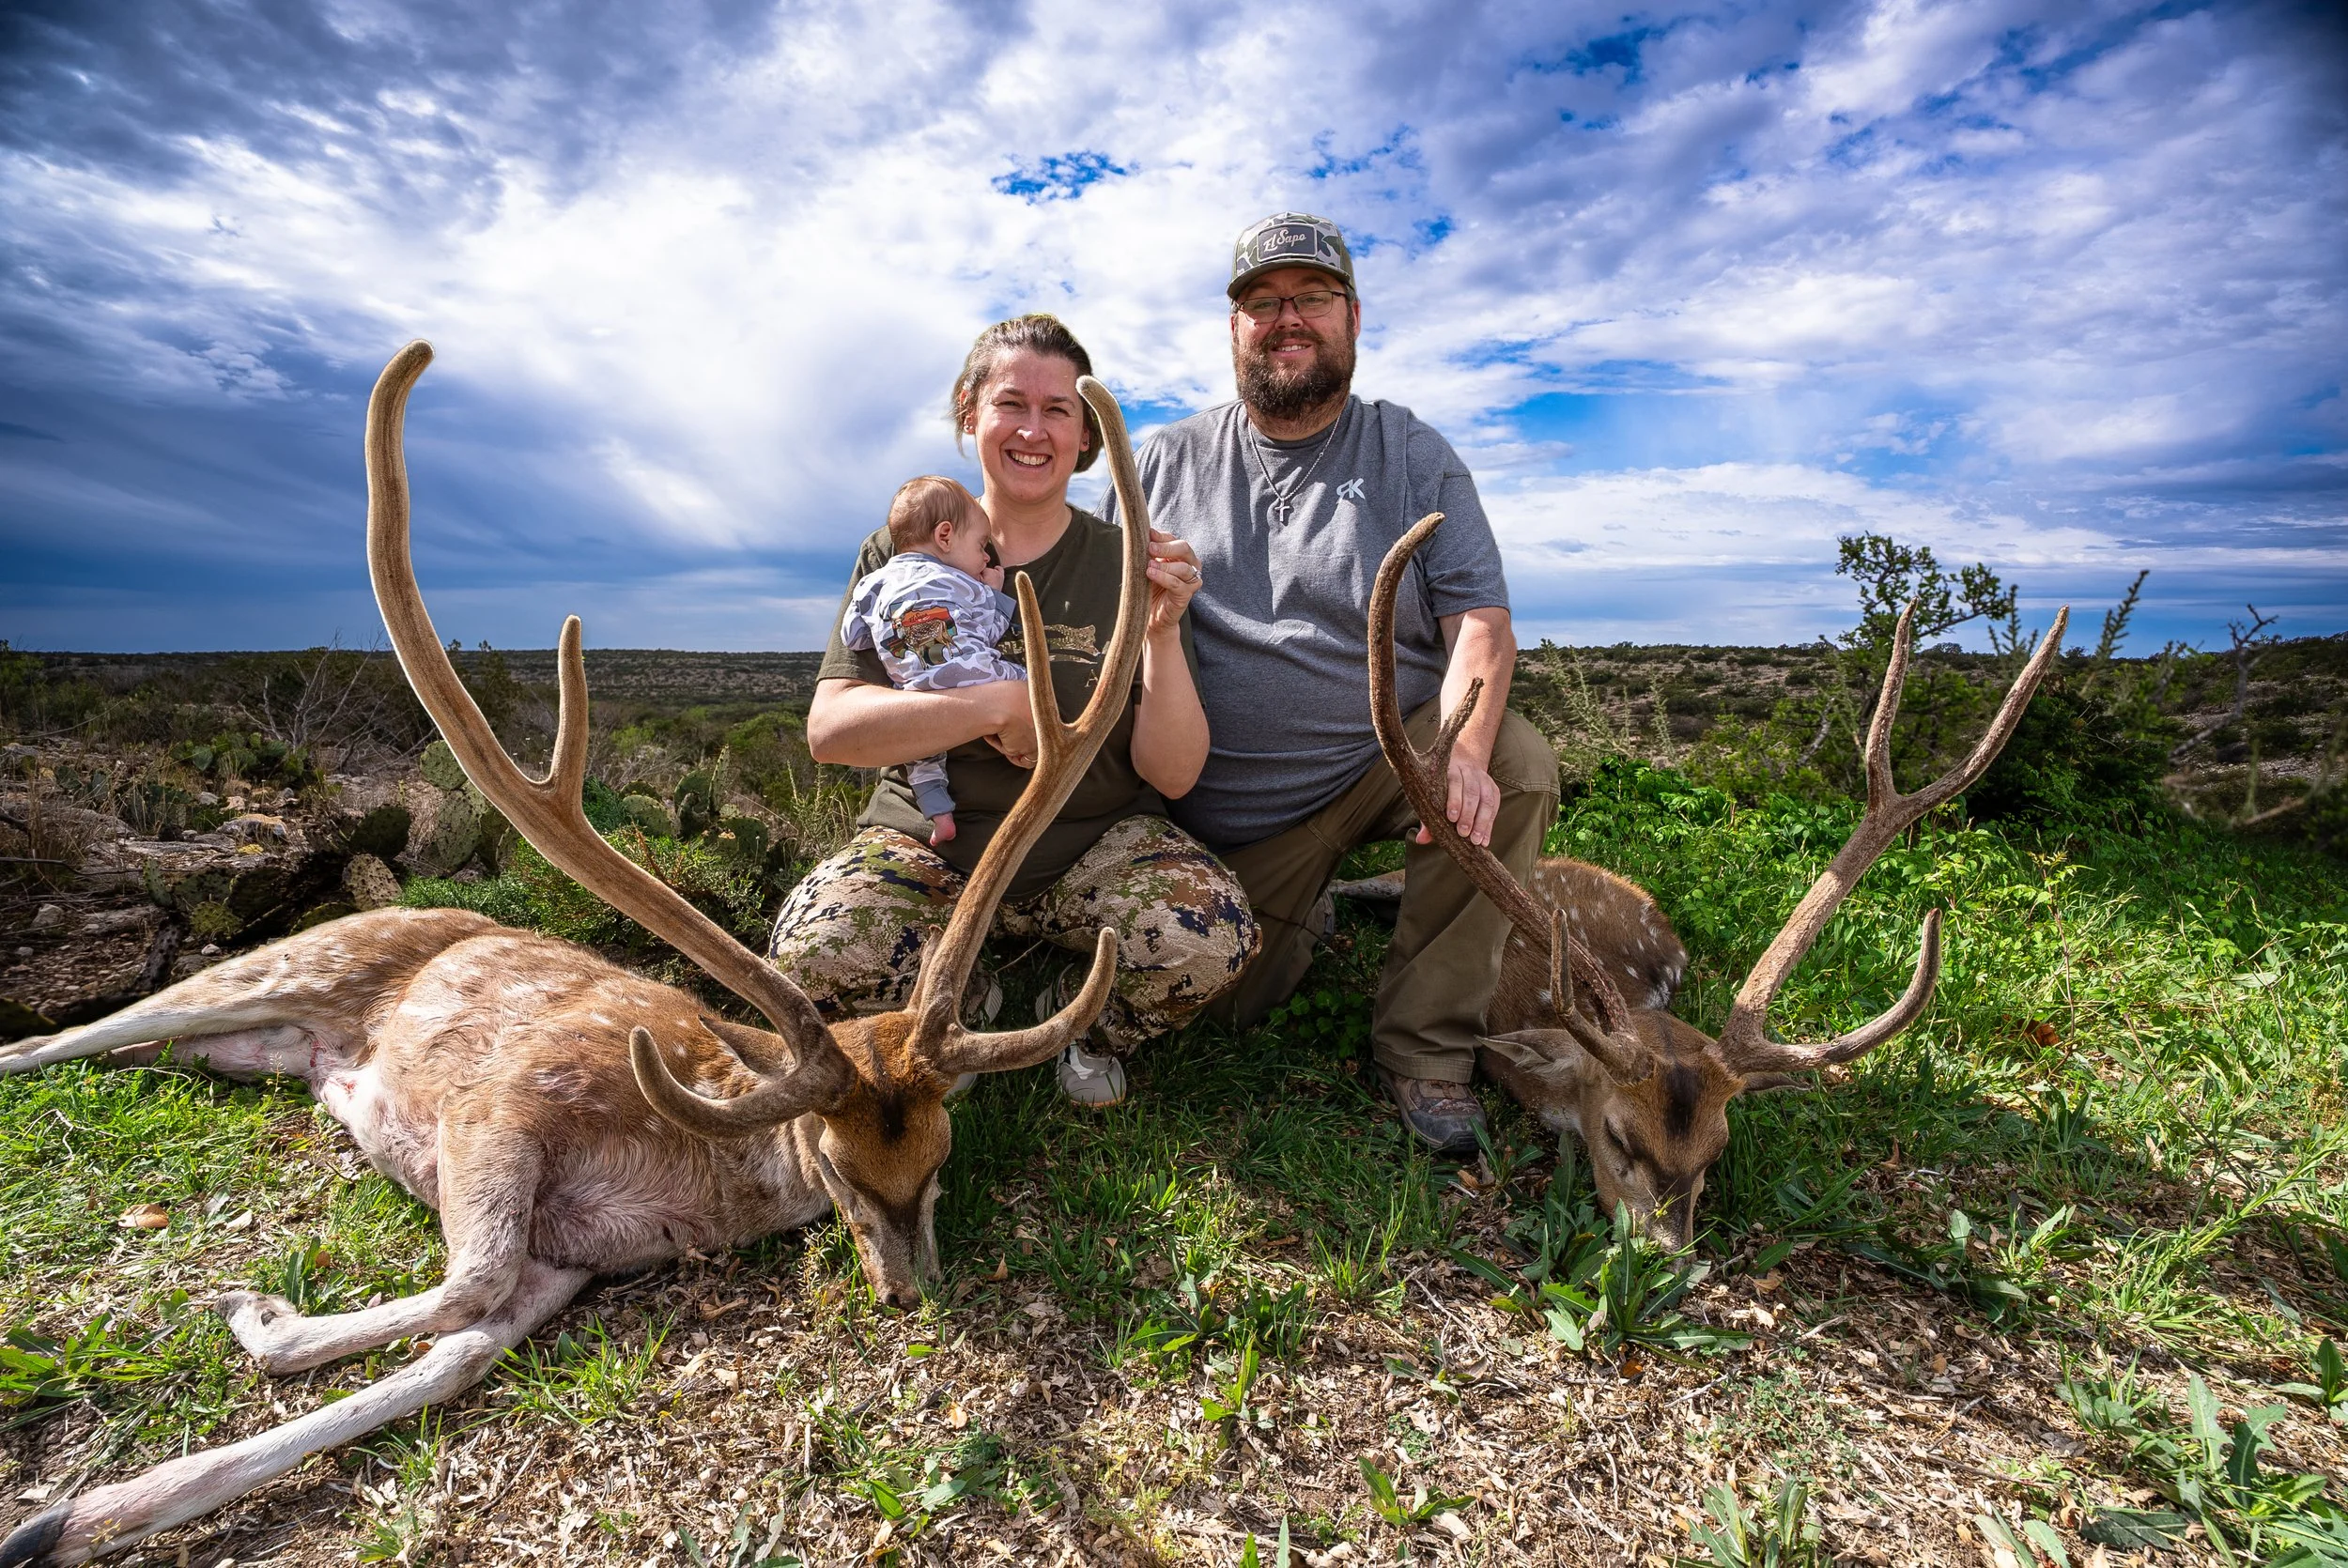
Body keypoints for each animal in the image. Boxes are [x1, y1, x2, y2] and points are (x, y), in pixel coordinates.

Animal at [0, 340, 1153, 1568]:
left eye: (938, 1158)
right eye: (840, 1168)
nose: (908, 1295)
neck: (695, 1171)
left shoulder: (569, 1260)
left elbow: (455, 1349)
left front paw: (86, 1508)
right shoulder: (499, 1106)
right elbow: (465, 1286)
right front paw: (250, 1315)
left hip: (255, 1038)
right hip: (274, 964)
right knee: (58, 1039)